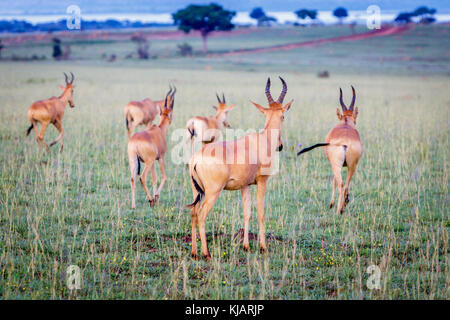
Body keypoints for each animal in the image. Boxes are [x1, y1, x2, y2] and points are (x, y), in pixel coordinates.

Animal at [185, 77, 294, 260]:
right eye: (283, 116)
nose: (280, 146)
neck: (262, 139)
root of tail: (196, 159)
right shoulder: (262, 181)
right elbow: (261, 212)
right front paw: (263, 247)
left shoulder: (245, 185)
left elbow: (247, 212)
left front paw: (246, 246)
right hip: (213, 191)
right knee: (201, 214)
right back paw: (206, 253)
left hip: (197, 191)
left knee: (193, 213)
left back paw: (194, 252)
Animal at [298, 86, 364, 214]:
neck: (345, 124)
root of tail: (345, 142)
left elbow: (333, 182)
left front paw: (331, 204)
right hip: (352, 166)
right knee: (346, 184)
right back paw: (343, 206)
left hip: (337, 165)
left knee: (340, 184)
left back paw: (339, 210)